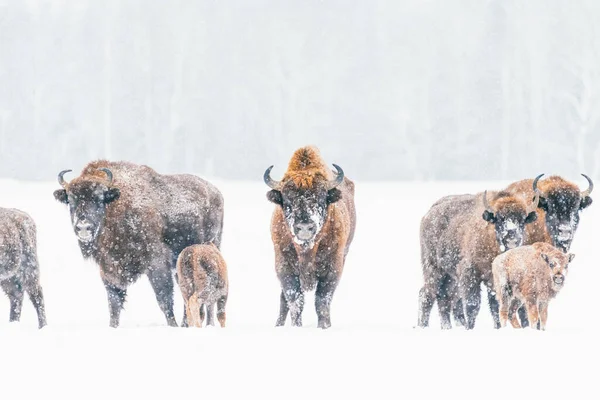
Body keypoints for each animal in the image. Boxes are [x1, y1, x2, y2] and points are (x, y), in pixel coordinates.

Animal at [52, 159, 223, 328]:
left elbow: (164, 298)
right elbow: (114, 303)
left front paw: (172, 325)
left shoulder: (156, 263)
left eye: (99, 198)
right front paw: (113, 326)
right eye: (71, 200)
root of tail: (215, 192)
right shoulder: (108, 268)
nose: (83, 227)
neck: (116, 207)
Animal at [264, 145, 356, 330]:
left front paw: (324, 326)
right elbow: (295, 300)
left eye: (320, 198)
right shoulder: (284, 267)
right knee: (283, 300)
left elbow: (321, 301)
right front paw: (296, 327)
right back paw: (278, 325)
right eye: (287, 199)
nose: (305, 226)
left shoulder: (333, 268)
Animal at [418, 177, 540, 328]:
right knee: (427, 295)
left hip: (450, 277)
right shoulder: (470, 273)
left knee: (444, 299)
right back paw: (423, 325)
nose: (512, 234)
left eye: (522, 219)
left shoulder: (493, 281)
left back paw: (446, 327)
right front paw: (470, 327)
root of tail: (428, 214)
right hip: (433, 269)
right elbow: (472, 305)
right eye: (500, 218)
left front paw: (498, 327)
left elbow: (495, 306)